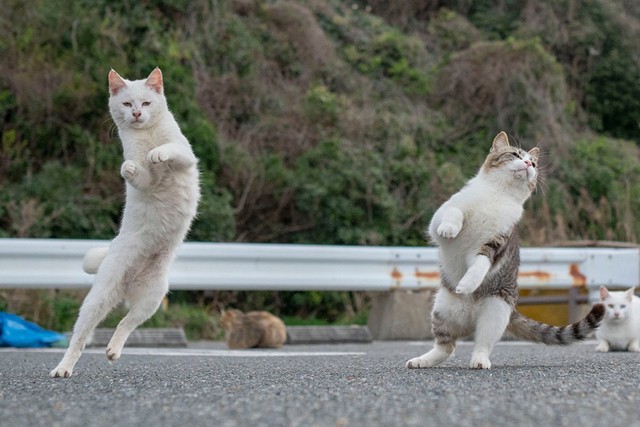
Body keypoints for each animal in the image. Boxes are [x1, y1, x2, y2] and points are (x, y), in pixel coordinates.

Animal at [50, 67, 200, 378]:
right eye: (128, 104)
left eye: (146, 103)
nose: (137, 114)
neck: (147, 134)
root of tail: (128, 287)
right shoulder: (146, 181)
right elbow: (139, 172)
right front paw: (131, 167)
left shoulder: (186, 156)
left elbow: (169, 149)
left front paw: (157, 154)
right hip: (98, 298)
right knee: (80, 338)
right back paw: (63, 368)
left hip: (153, 298)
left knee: (126, 323)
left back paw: (113, 349)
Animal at [404, 133, 604, 372]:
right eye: (515, 154)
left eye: (534, 163)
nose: (528, 164)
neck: (498, 195)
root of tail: (470, 317)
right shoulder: (439, 217)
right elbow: (452, 214)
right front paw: (450, 228)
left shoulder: (496, 242)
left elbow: (481, 263)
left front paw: (468, 283)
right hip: (442, 310)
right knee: (446, 346)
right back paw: (421, 360)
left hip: (496, 310)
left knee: (480, 343)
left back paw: (479, 361)